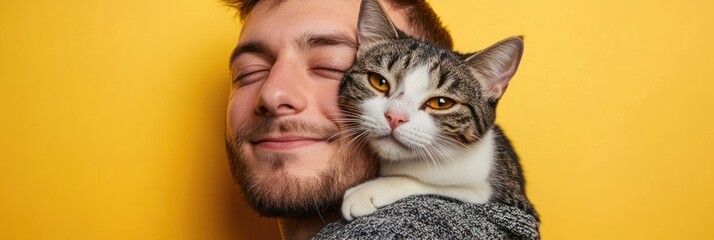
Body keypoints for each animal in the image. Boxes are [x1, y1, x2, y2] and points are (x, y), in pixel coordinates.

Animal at [336, 0, 536, 222]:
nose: (395, 117)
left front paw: (369, 190)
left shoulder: (505, 197)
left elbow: (434, 185)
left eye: (441, 103)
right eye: (379, 82)